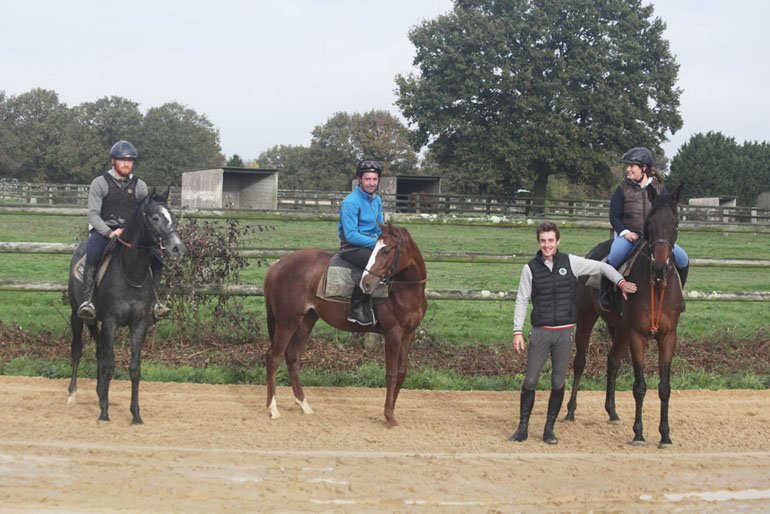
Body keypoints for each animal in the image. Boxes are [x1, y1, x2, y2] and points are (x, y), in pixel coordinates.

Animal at [67, 187, 186, 424]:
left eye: (172, 216)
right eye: (155, 217)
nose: (177, 248)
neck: (130, 272)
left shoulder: (139, 324)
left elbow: (133, 368)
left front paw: (135, 414)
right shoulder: (111, 322)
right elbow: (110, 365)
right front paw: (104, 413)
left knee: (99, 354)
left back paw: (99, 393)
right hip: (77, 315)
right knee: (77, 350)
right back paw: (73, 394)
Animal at [263, 223, 427, 427]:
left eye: (386, 251)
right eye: (379, 249)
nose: (366, 283)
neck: (406, 291)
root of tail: (277, 264)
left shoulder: (409, 334)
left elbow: (402, 372)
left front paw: (390, 413)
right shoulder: (393, 334)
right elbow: (392, 374)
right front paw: (389, 416)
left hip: (306, 321)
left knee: (292, 357)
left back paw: (304, 405)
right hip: (287, 322)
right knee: (273, 358)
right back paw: (273, 409)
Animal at [565, 184, 684, 447]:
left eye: (675, 224)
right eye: (649, 223)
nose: (660, 267)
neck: (655, 286)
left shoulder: (668, 337)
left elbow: (664, 387)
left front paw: (665, 435)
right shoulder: (637, 335)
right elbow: (639, 386)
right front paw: (638, 434)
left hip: (620, 331)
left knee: (613, 362)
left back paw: (612, 411)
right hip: (587, 319)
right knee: (579, 362)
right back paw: (570, 411)